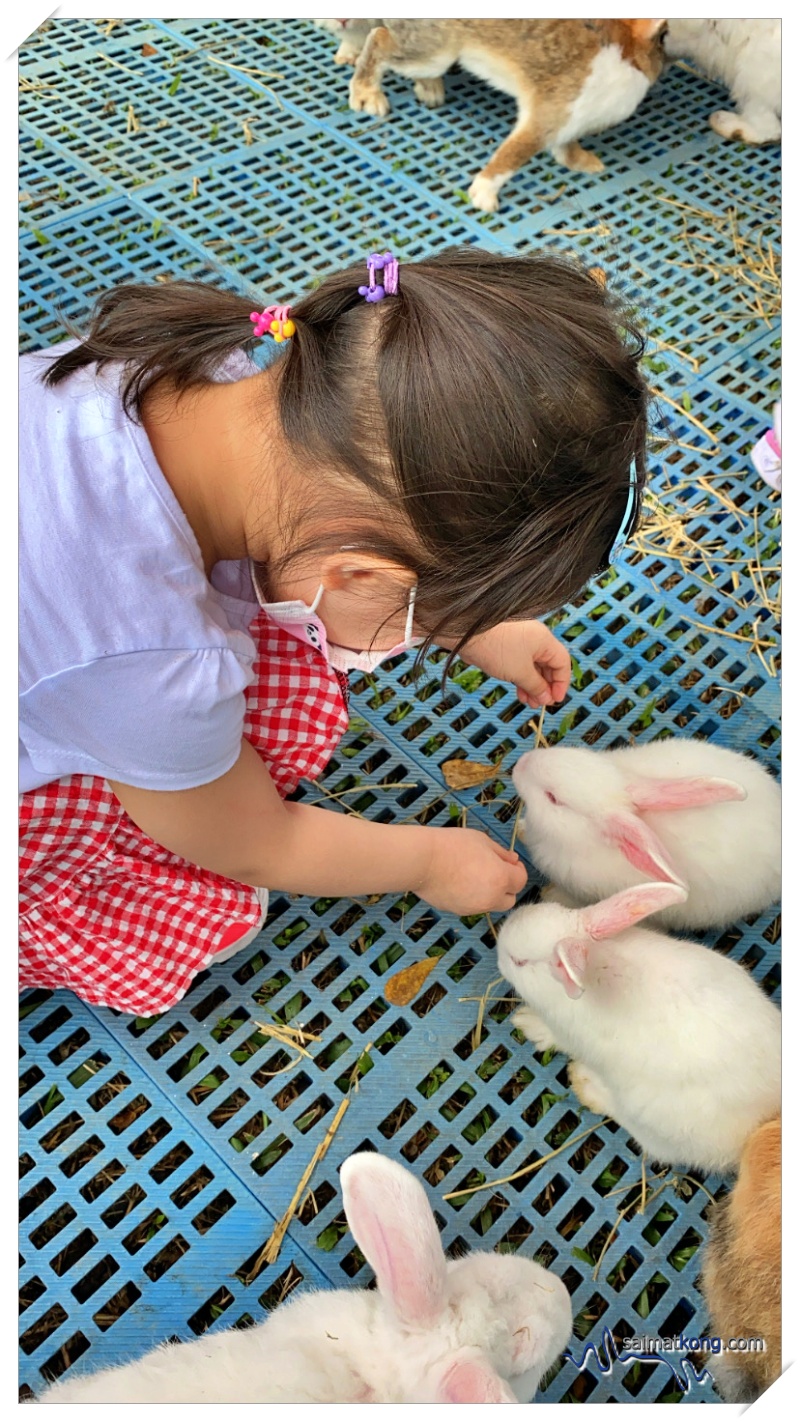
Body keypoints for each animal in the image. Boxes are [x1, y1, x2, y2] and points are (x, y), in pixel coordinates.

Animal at [350, 20, 670, 207]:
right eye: (663, 37)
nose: (665, 60)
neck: (625, 56)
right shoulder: (547, 117)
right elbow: (512, 156)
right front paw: (483, 198)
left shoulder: (568, 124)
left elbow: (565, 148)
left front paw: (588, 164)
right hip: (433, 53)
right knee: (378, 40)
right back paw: (367, 96)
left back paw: (429, 91)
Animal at [500, 875, 784, 1177]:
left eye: (519, 961)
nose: (500, 939)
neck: (595, 965)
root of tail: (761, 1120)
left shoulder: (567, 1034)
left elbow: (553, 1035)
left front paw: (526, 1022)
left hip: (655, 1122)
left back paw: (586, 1085)